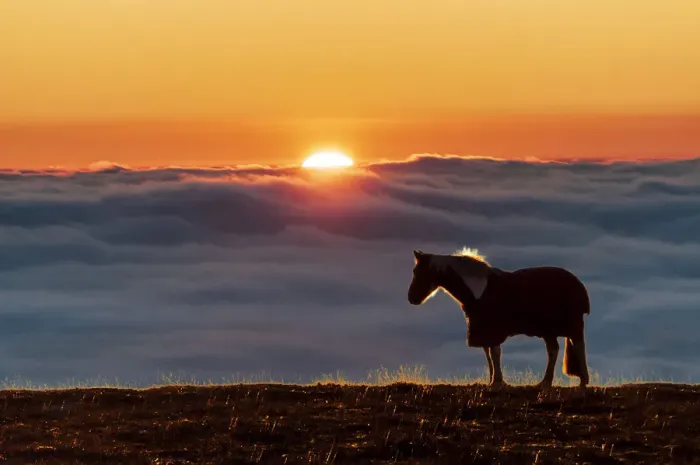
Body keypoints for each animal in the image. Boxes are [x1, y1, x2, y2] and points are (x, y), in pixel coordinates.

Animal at [406, 248, 590, 388]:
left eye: (416, 271)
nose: (411, 298)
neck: (480, 290)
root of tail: (578, 285)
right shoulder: (482, 328)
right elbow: (489, 353)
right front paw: (493, 380)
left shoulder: (492, 328)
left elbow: (495, 353)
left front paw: (497, 382)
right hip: (548, 330)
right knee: (553, 350)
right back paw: (545, 383)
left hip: (571, 325)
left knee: (579, 346)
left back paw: (582, 382)